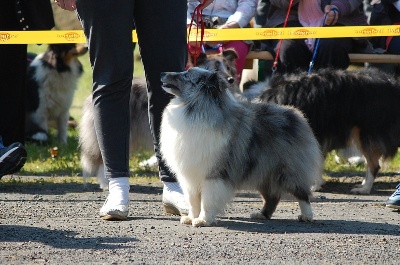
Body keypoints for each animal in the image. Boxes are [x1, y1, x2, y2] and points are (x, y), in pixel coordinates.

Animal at [159, 67, 322, 226]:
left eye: (186, 75)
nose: (162, 73)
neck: (193, 107)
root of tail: (295, 114)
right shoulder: (190, 176)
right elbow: (193, 201)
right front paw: (190, 218)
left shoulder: (213, 174)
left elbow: (207, 200)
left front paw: (203, 220)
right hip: (263, 172)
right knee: (272, 197)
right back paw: (262, 215)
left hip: (287, 171)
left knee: (302, 194)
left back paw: (306, 216)